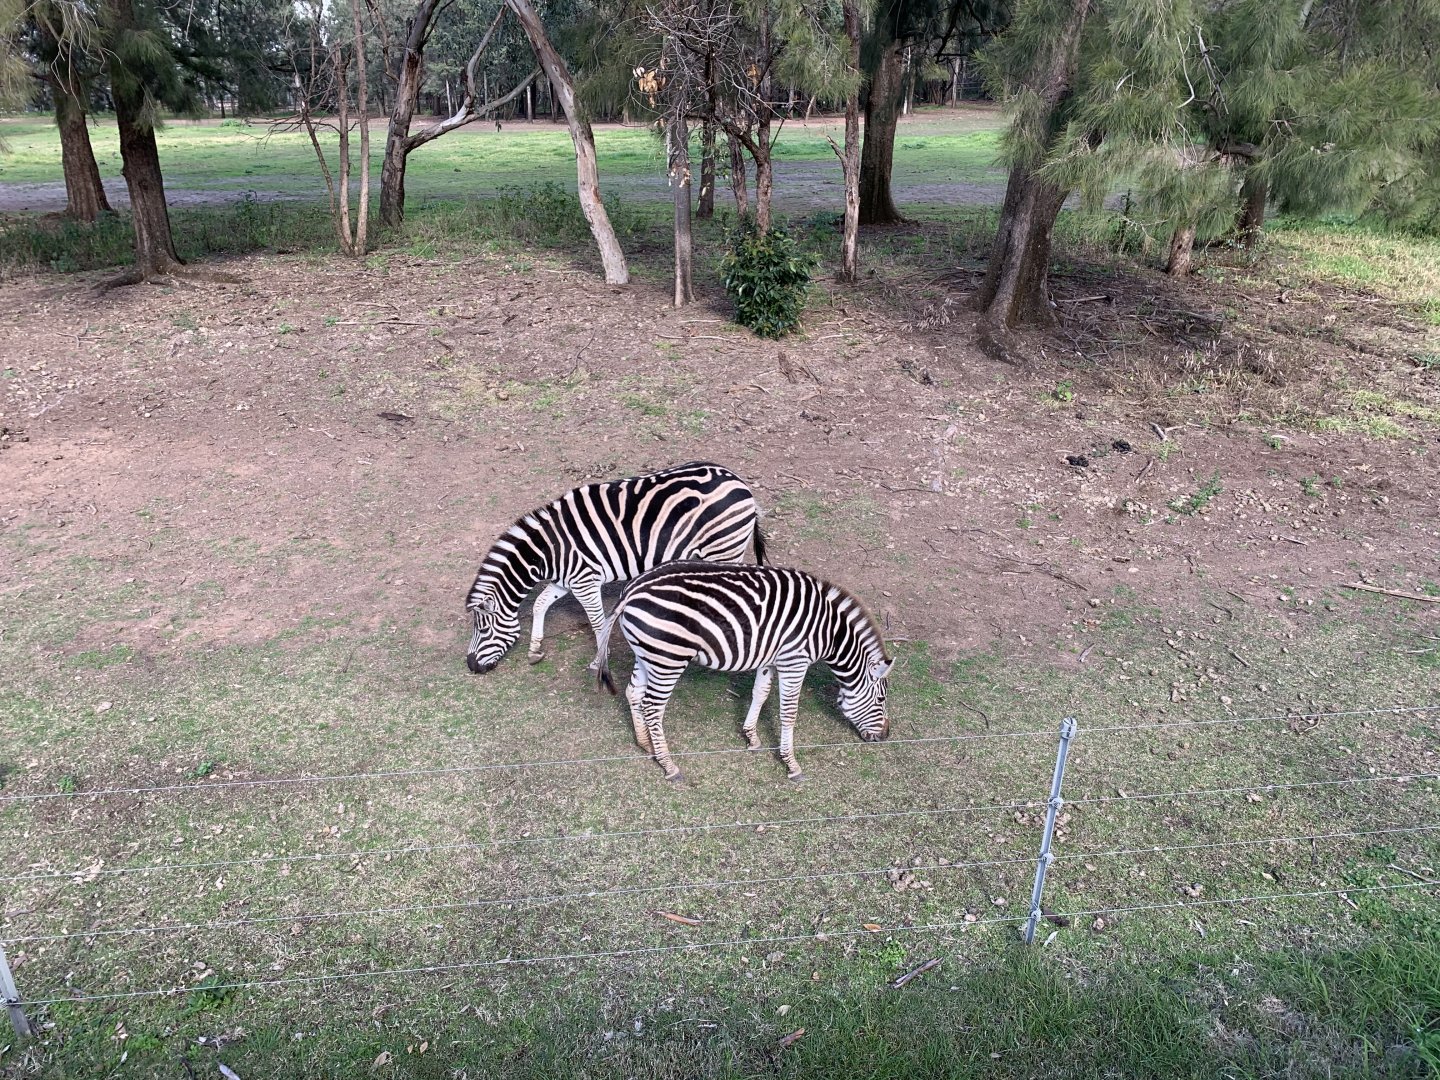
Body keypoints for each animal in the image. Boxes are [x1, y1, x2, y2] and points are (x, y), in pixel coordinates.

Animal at [465, 462, 765, 674]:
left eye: (484, 631)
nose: (471, 666)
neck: (547, 552)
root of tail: (739, 482)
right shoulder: (566, 581)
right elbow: (540, 604)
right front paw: (535, 650)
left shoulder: (585, 581)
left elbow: (598, 622)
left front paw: (599, 661)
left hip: (724, 547)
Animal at [595, 561, 893, 781]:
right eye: (881, 699)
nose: (886, 736)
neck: (829, 632)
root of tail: (632, 589)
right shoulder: (794, 661)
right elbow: (789, 712)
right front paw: (792, 765)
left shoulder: (770, 658)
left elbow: (760, 693)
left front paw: (751, 736)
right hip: (669, 658)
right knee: (653, 706)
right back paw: (669, 765)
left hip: (647, 654)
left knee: (633, 693)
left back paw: (646, 744)